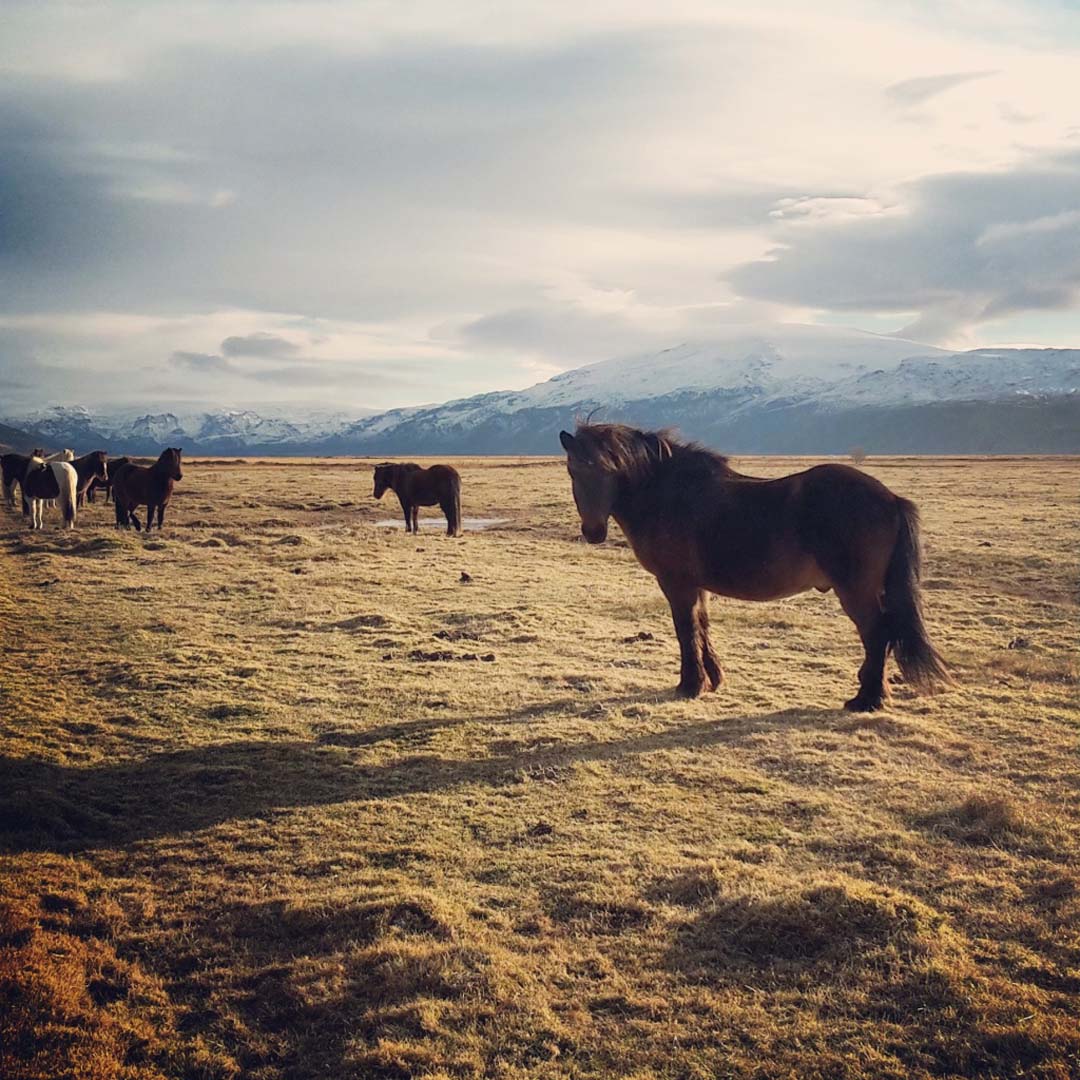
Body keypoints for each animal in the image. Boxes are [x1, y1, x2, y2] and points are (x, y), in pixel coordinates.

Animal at [560, 423, 950, 712]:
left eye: (609, 468)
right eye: (572, 470)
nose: (593, 531)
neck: (668, 494)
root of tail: (891, 499)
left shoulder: (676, 583)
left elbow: (685, 629)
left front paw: (690, 684)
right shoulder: (697, 585)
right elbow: (702, 625)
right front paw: (713, 679)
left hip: (856, 590)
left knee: (877, 633)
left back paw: (867, 699)